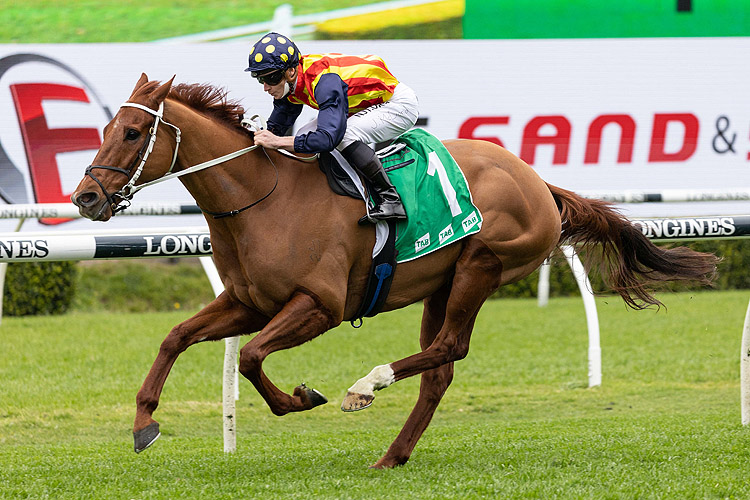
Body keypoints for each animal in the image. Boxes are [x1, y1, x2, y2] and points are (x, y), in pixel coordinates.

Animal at [72, 75, 724, 468]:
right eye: (103, 129)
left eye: (132, 132)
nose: (86, 198)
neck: (265, 198)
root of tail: (537, 181)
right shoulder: (249, 302)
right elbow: (175, 337)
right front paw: (144, 424)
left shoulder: (320, 306)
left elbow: (253, 357)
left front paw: (302, 398)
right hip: (443, 281)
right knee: (440, 366)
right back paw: (393, 453)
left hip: (482, 265)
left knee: (450, 348)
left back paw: (368, 385)